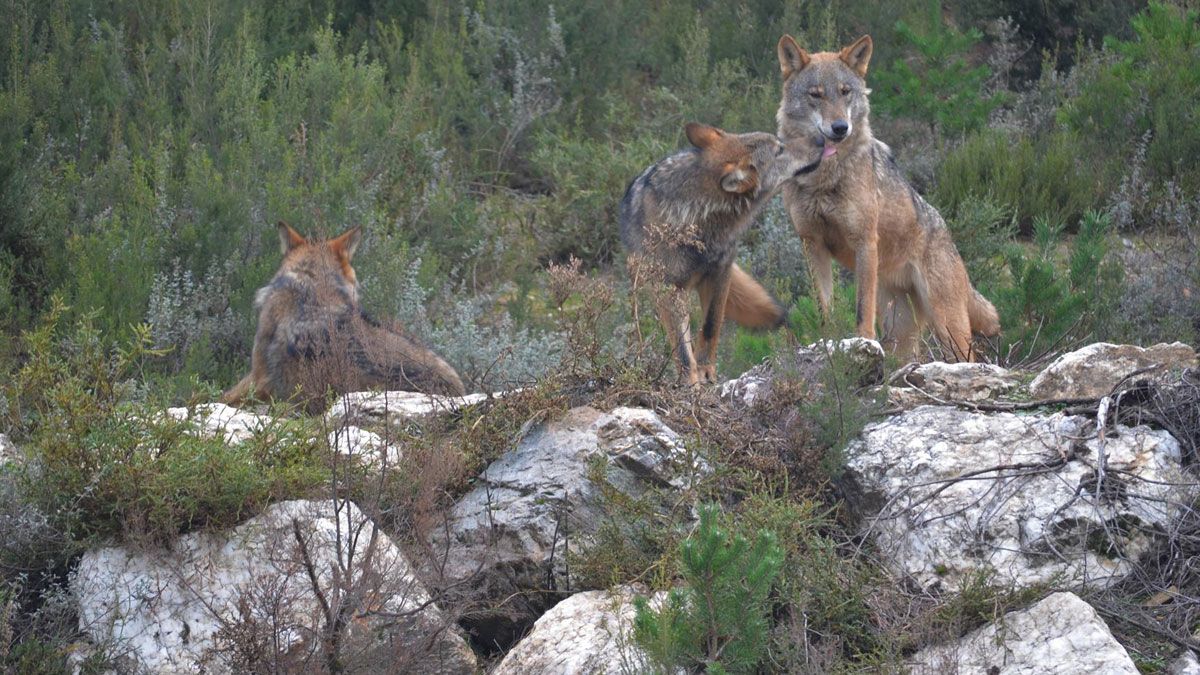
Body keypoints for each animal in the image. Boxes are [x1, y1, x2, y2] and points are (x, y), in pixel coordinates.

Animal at [620, 122, 824, 384]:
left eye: (780, 142)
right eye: (779, 150)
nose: (821, 139)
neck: (696, 219)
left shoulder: (720, 273)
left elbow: (710, 325)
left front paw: (706, 370)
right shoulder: (668, 290)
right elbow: (682, 349)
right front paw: (691, 382)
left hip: (761, 304)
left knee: (784, 320)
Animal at [776, 34, 1000, 361]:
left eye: (845, 92)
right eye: (816, 95)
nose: (840, 127)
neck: (824, 177)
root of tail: (947, 234)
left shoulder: (864, 241)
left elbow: (861, 308)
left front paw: (862, 343)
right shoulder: (812, 245)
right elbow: (824, 309)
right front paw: (826, 344)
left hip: (948, 327)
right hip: (901, 332)